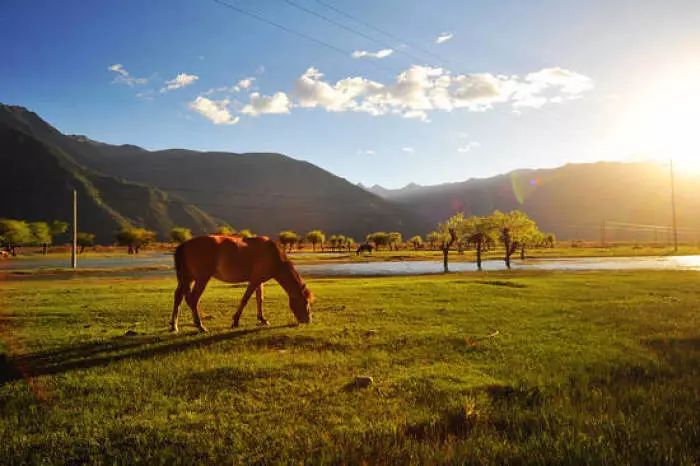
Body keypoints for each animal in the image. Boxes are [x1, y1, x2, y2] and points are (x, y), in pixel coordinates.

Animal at [171, 237, 314, 332]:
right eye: (305, 302)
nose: (308, 321)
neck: (273, 255)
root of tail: (184, 245)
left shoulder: (259, 281)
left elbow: (260, 299)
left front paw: (262, 319)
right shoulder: (254, 280)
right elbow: (245, 299)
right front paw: (235, 321)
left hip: (188, 279)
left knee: (178, 297)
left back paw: (174, 326)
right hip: (201, 279)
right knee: (193, 300)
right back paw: (200, 326)